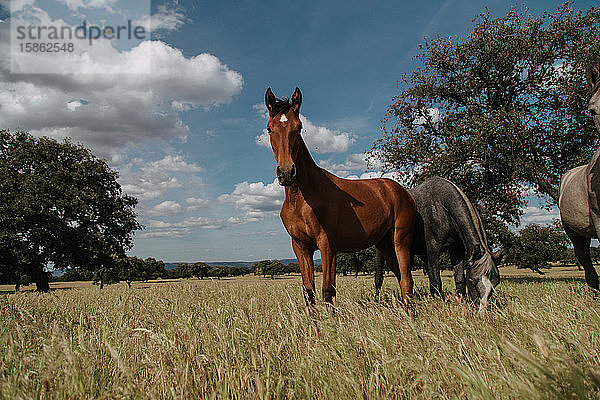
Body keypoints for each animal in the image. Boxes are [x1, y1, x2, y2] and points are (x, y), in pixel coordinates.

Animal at [264, 88, 414, 306]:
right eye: (269, 128)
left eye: (299, 127)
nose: (286, 172)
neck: (301, 199)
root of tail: (400, 190)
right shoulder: (301, 247)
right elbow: (309, 292)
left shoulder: (327, 245)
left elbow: (328, 290)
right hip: (385, 244)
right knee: (402, 278)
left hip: (400, 240)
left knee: (406, 280)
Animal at [376, 177, 502, 310]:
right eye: (472, 281)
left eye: (495, 284)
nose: (480, 310)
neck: (442, 206)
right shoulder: (433, 249)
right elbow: (436, 281)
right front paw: (438, 303)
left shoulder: (457, 250)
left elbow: (459, 279)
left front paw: (461, 301)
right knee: (378, 277)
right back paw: (377, 299)